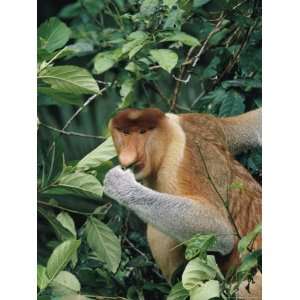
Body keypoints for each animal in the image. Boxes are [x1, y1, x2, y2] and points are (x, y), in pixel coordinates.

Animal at [102, 107, 260, 298]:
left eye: (142, 132)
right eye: (125, 132)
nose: (127, 157)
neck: (169, 136)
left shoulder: (177, 164)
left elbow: (220, 231)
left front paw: (119, 182)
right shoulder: (206, 121)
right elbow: (254, 124)